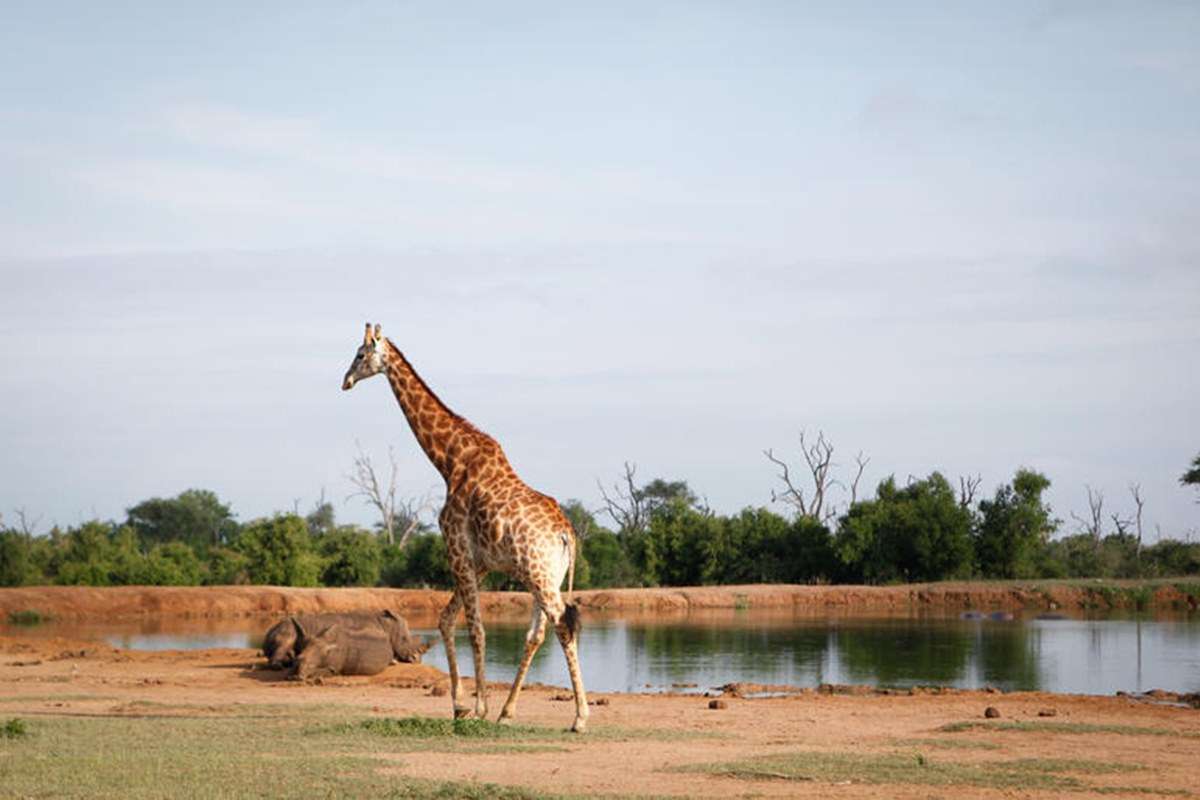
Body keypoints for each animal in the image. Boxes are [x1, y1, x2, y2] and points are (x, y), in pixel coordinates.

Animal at [340, 323, 588, 734]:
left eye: (360, 354)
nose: (345, 380)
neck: (449, 460)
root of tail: (566, 532)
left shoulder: (456, 547)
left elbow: (475, 628)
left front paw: (478, 707)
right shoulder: (480, 560)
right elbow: (446, 619)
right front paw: (461, 705)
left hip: (537, 573)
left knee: (563, 625)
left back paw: (579, 717)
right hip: (545, 575)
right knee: (537, 633)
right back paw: (508, 712)